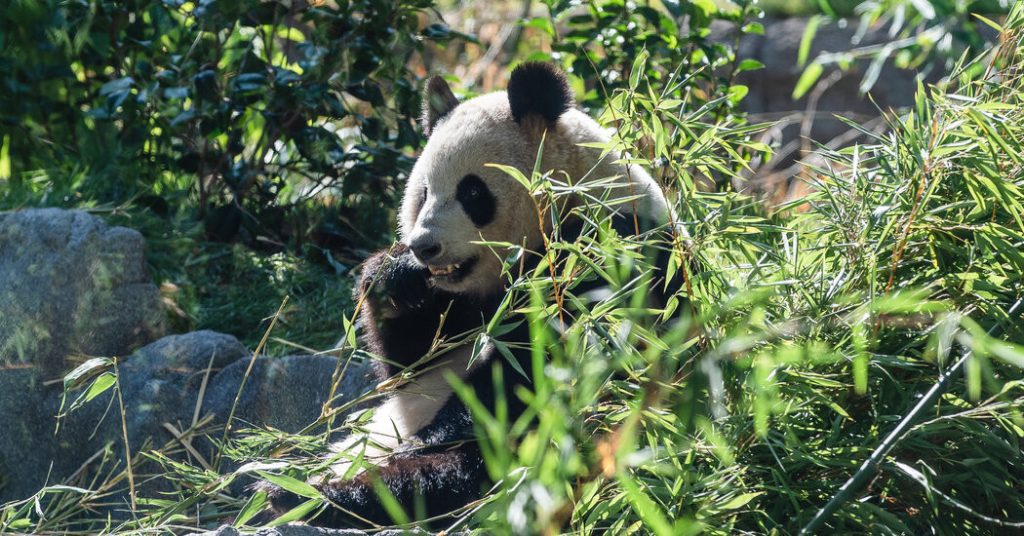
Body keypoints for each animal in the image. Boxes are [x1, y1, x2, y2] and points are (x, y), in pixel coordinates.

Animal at [264, 62, 679, 528]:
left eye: (472, 192)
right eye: (423, 192)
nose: (424, 247)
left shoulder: (609, 255)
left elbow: (534, 369)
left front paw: (425, 440)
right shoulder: (459, 304)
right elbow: (407, 365)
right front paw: (394, 277)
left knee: (456, 476)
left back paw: (322, 495)